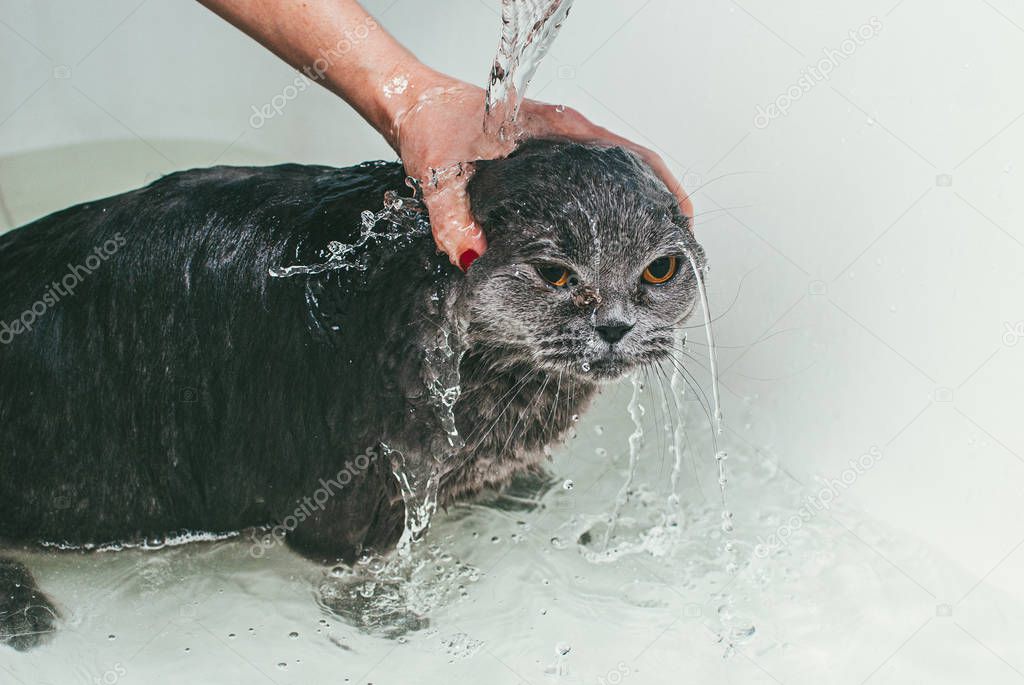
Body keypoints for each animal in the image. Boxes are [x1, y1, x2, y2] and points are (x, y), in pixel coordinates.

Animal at [0, 137, 704, 647]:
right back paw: (24, 615)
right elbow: (347, 564)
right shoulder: (343, 491)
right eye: (556, 274)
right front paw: (384, 613)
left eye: (660, 269)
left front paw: (519, 486)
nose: (614, 326)